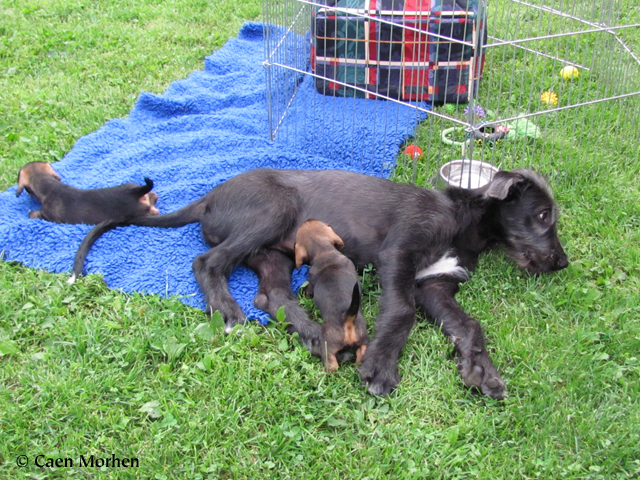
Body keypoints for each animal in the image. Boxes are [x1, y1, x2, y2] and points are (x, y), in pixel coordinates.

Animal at [294, 219, 368, 374]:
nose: (307, 220)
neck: (324, 252)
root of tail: (347, 319)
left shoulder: (311, 282)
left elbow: (309, 291)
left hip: (328, 345)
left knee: (332, 365)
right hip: (362, 340)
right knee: (360, 356)